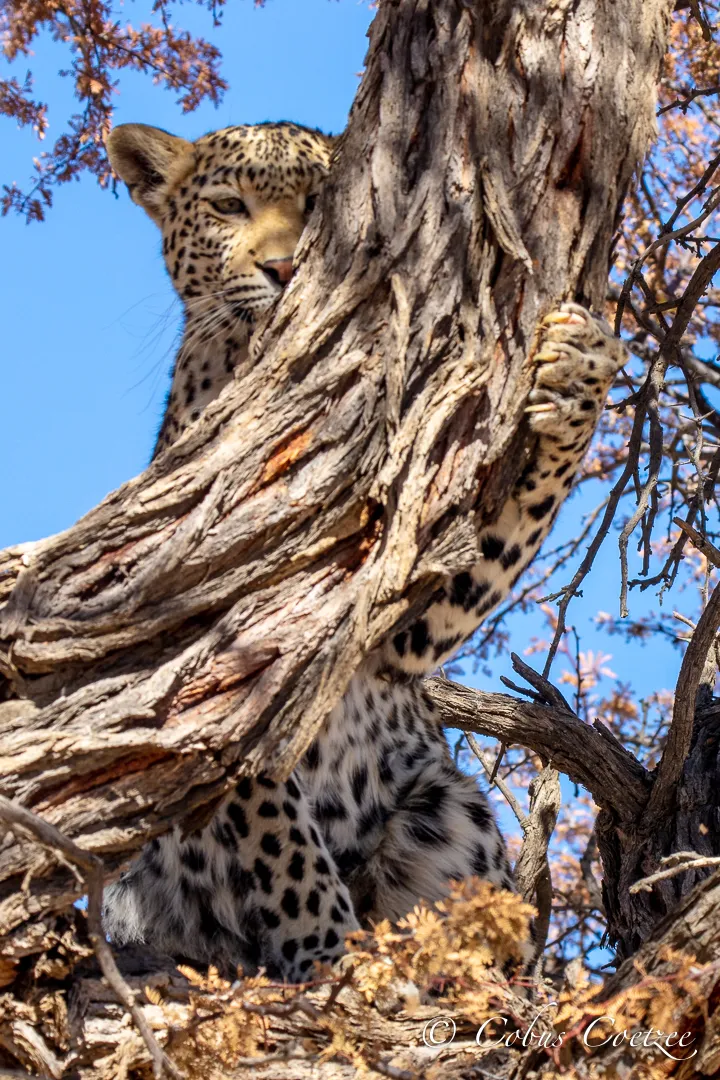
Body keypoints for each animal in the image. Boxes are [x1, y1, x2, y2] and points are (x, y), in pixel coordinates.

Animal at [103, 119, 627, 982]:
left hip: (443, 800)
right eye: (227, 206)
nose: (284, 269)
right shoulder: (213, 667)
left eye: (322, 202)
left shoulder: (400, 626)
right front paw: (321, 949)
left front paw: (579, 373)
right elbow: (276, 838)